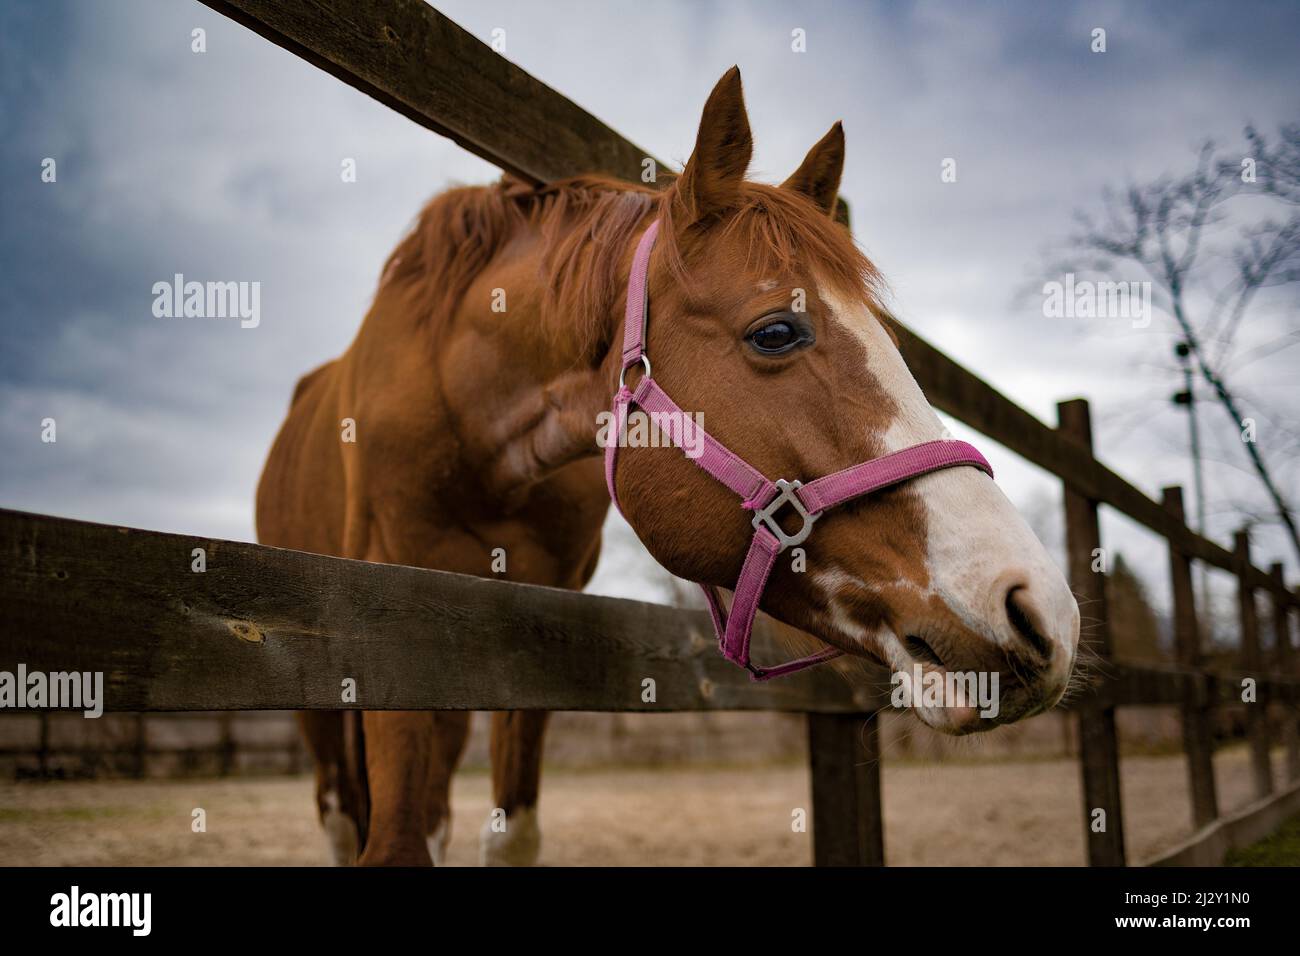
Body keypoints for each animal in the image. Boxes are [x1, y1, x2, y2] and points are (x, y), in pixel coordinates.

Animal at [256, 67, 1080, 866]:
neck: (471, 414)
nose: (1037, 608)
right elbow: (393, 840)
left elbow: (506, 833)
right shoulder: (380, 606)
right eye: (776, 331)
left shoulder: (526, 618)